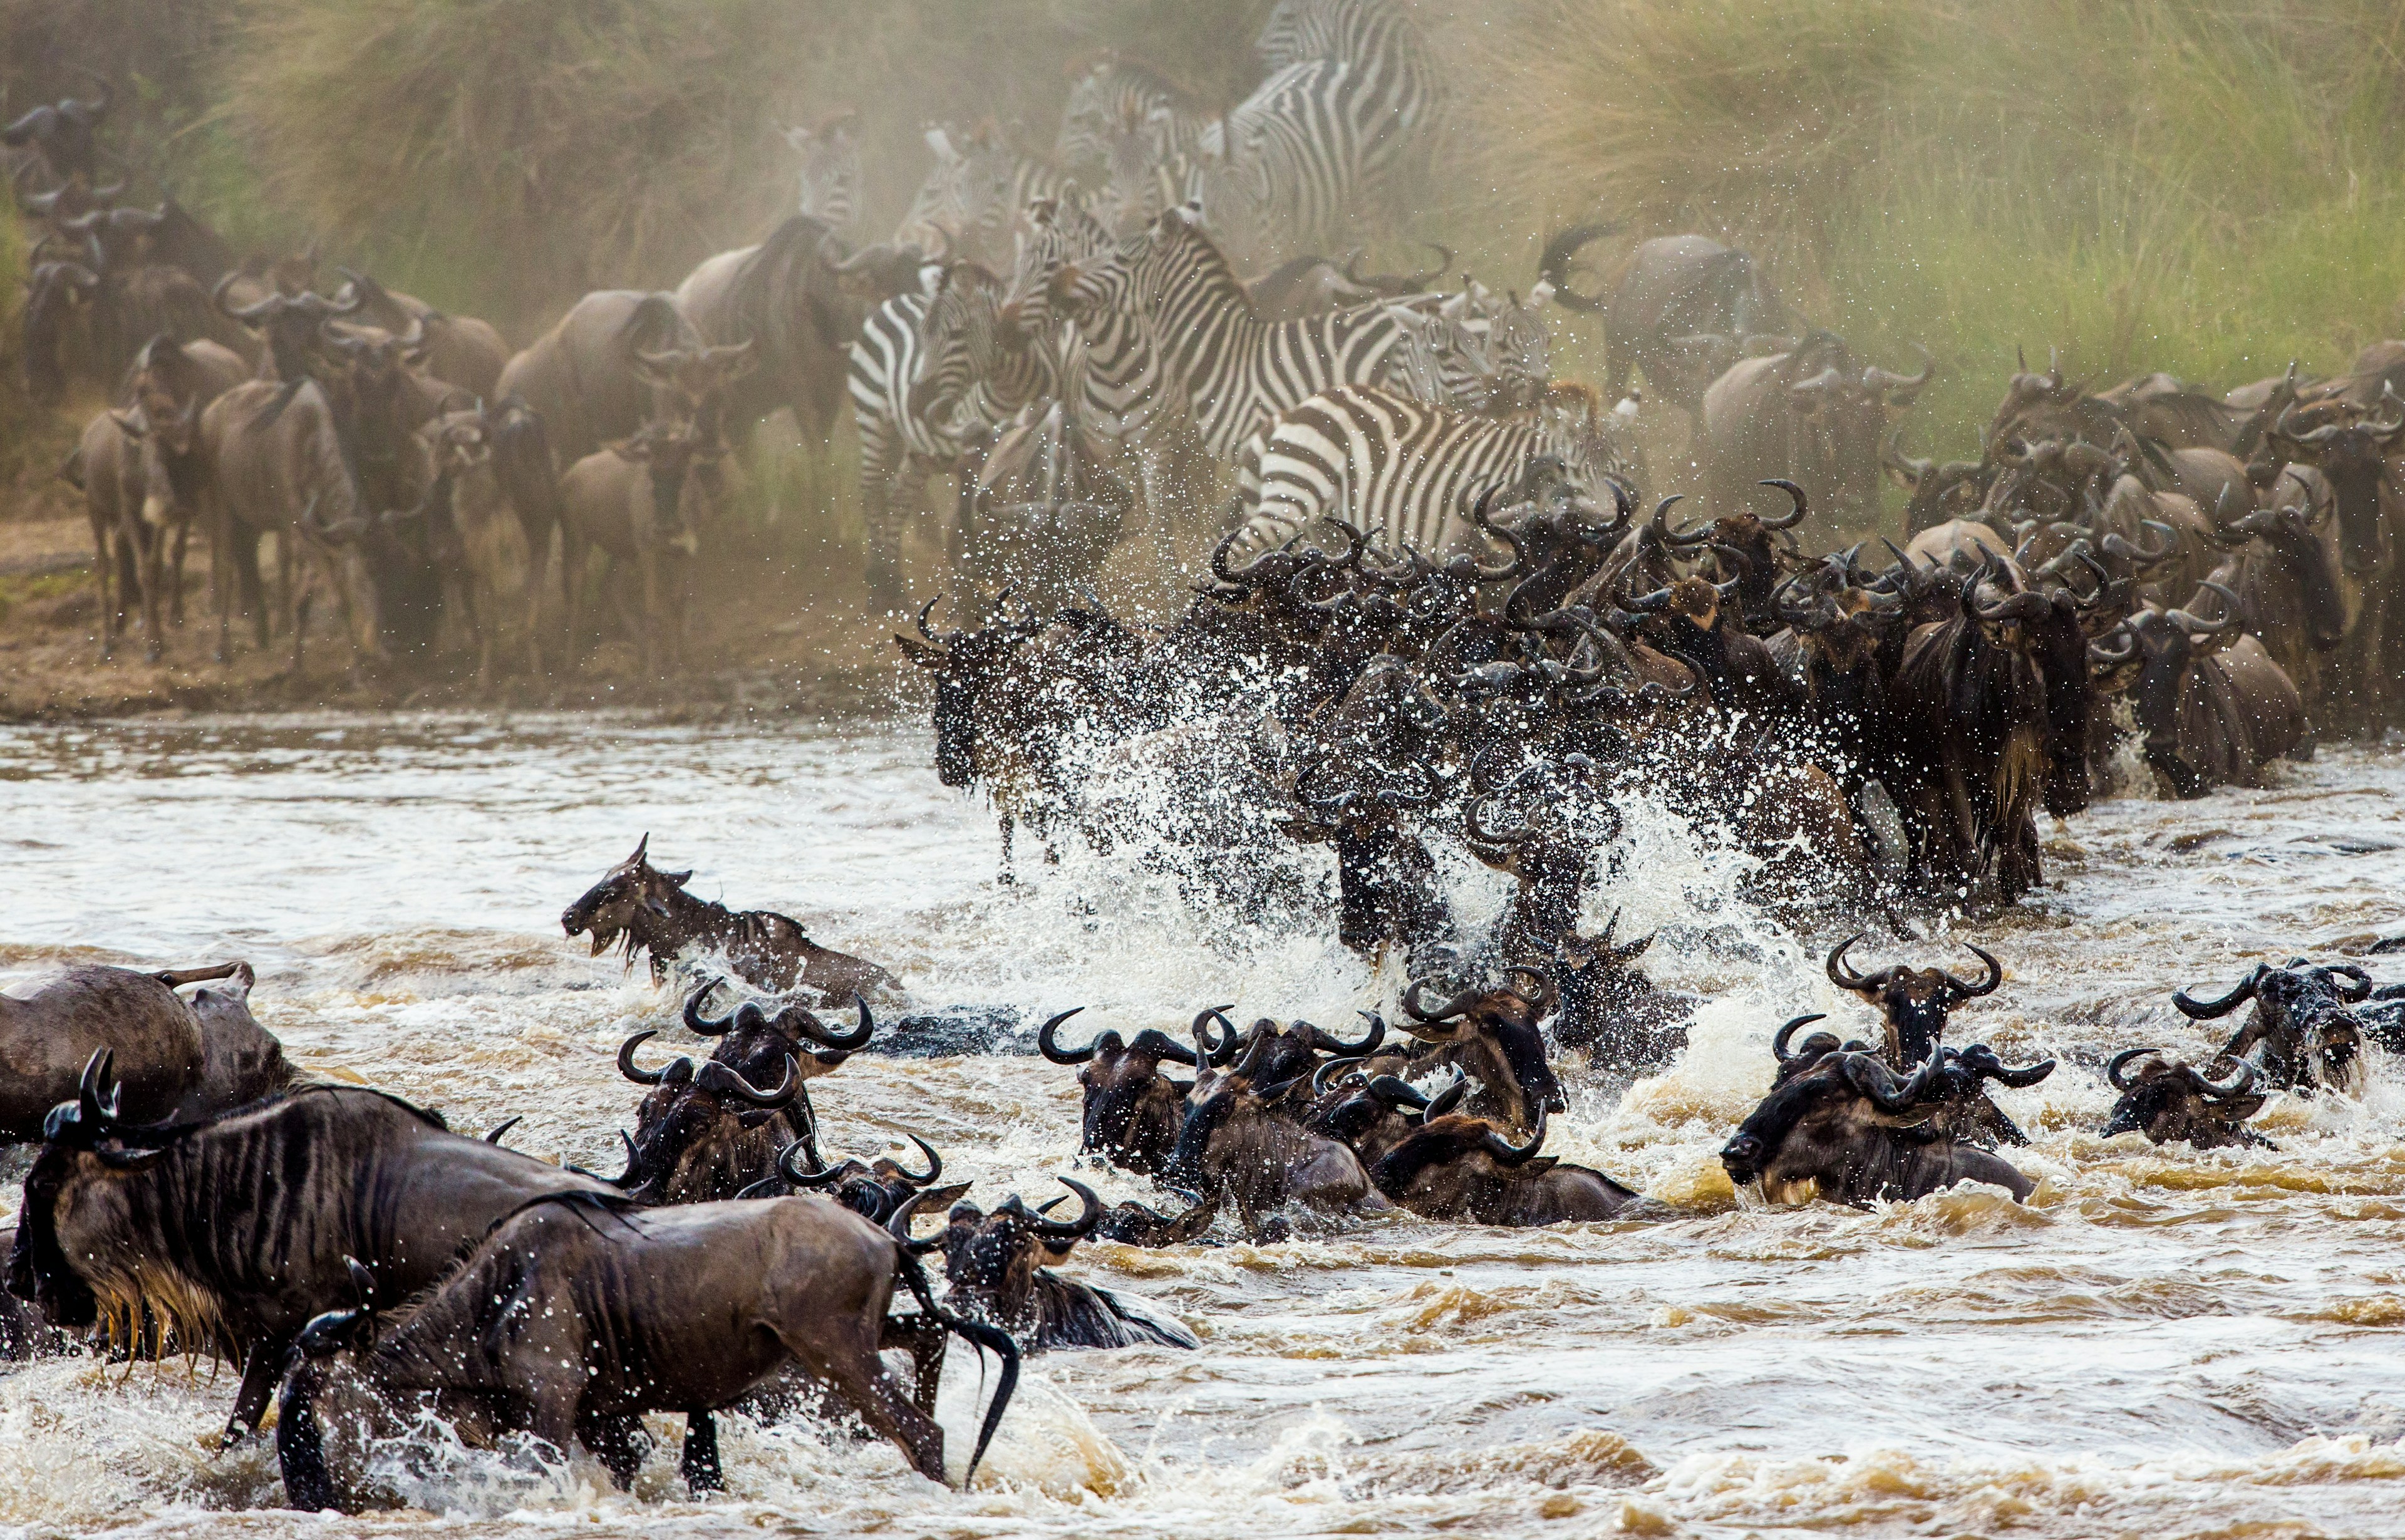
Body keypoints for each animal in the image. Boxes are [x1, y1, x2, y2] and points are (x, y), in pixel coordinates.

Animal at [1231, 382, 1645, 556]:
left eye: (1621, 469)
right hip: (1296, 496)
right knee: (1238, 551)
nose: (1607, 521)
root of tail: (1300, 407)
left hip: (1326, 530)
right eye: (1568, 468)